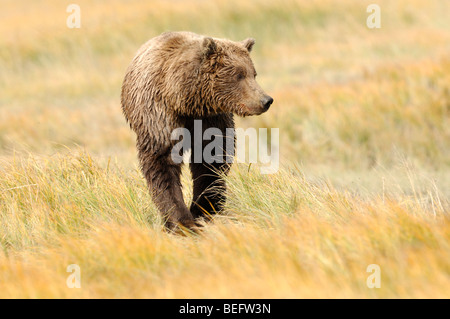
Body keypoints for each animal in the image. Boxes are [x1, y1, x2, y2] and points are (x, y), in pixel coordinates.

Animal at [121, 31, 272, 232]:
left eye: (253, 74)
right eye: (239, 75)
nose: (266, 100)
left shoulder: (210, 118)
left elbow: (210, 160)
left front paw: (202, 209)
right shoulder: (159, 115)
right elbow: (162, 164)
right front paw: (181, 220)